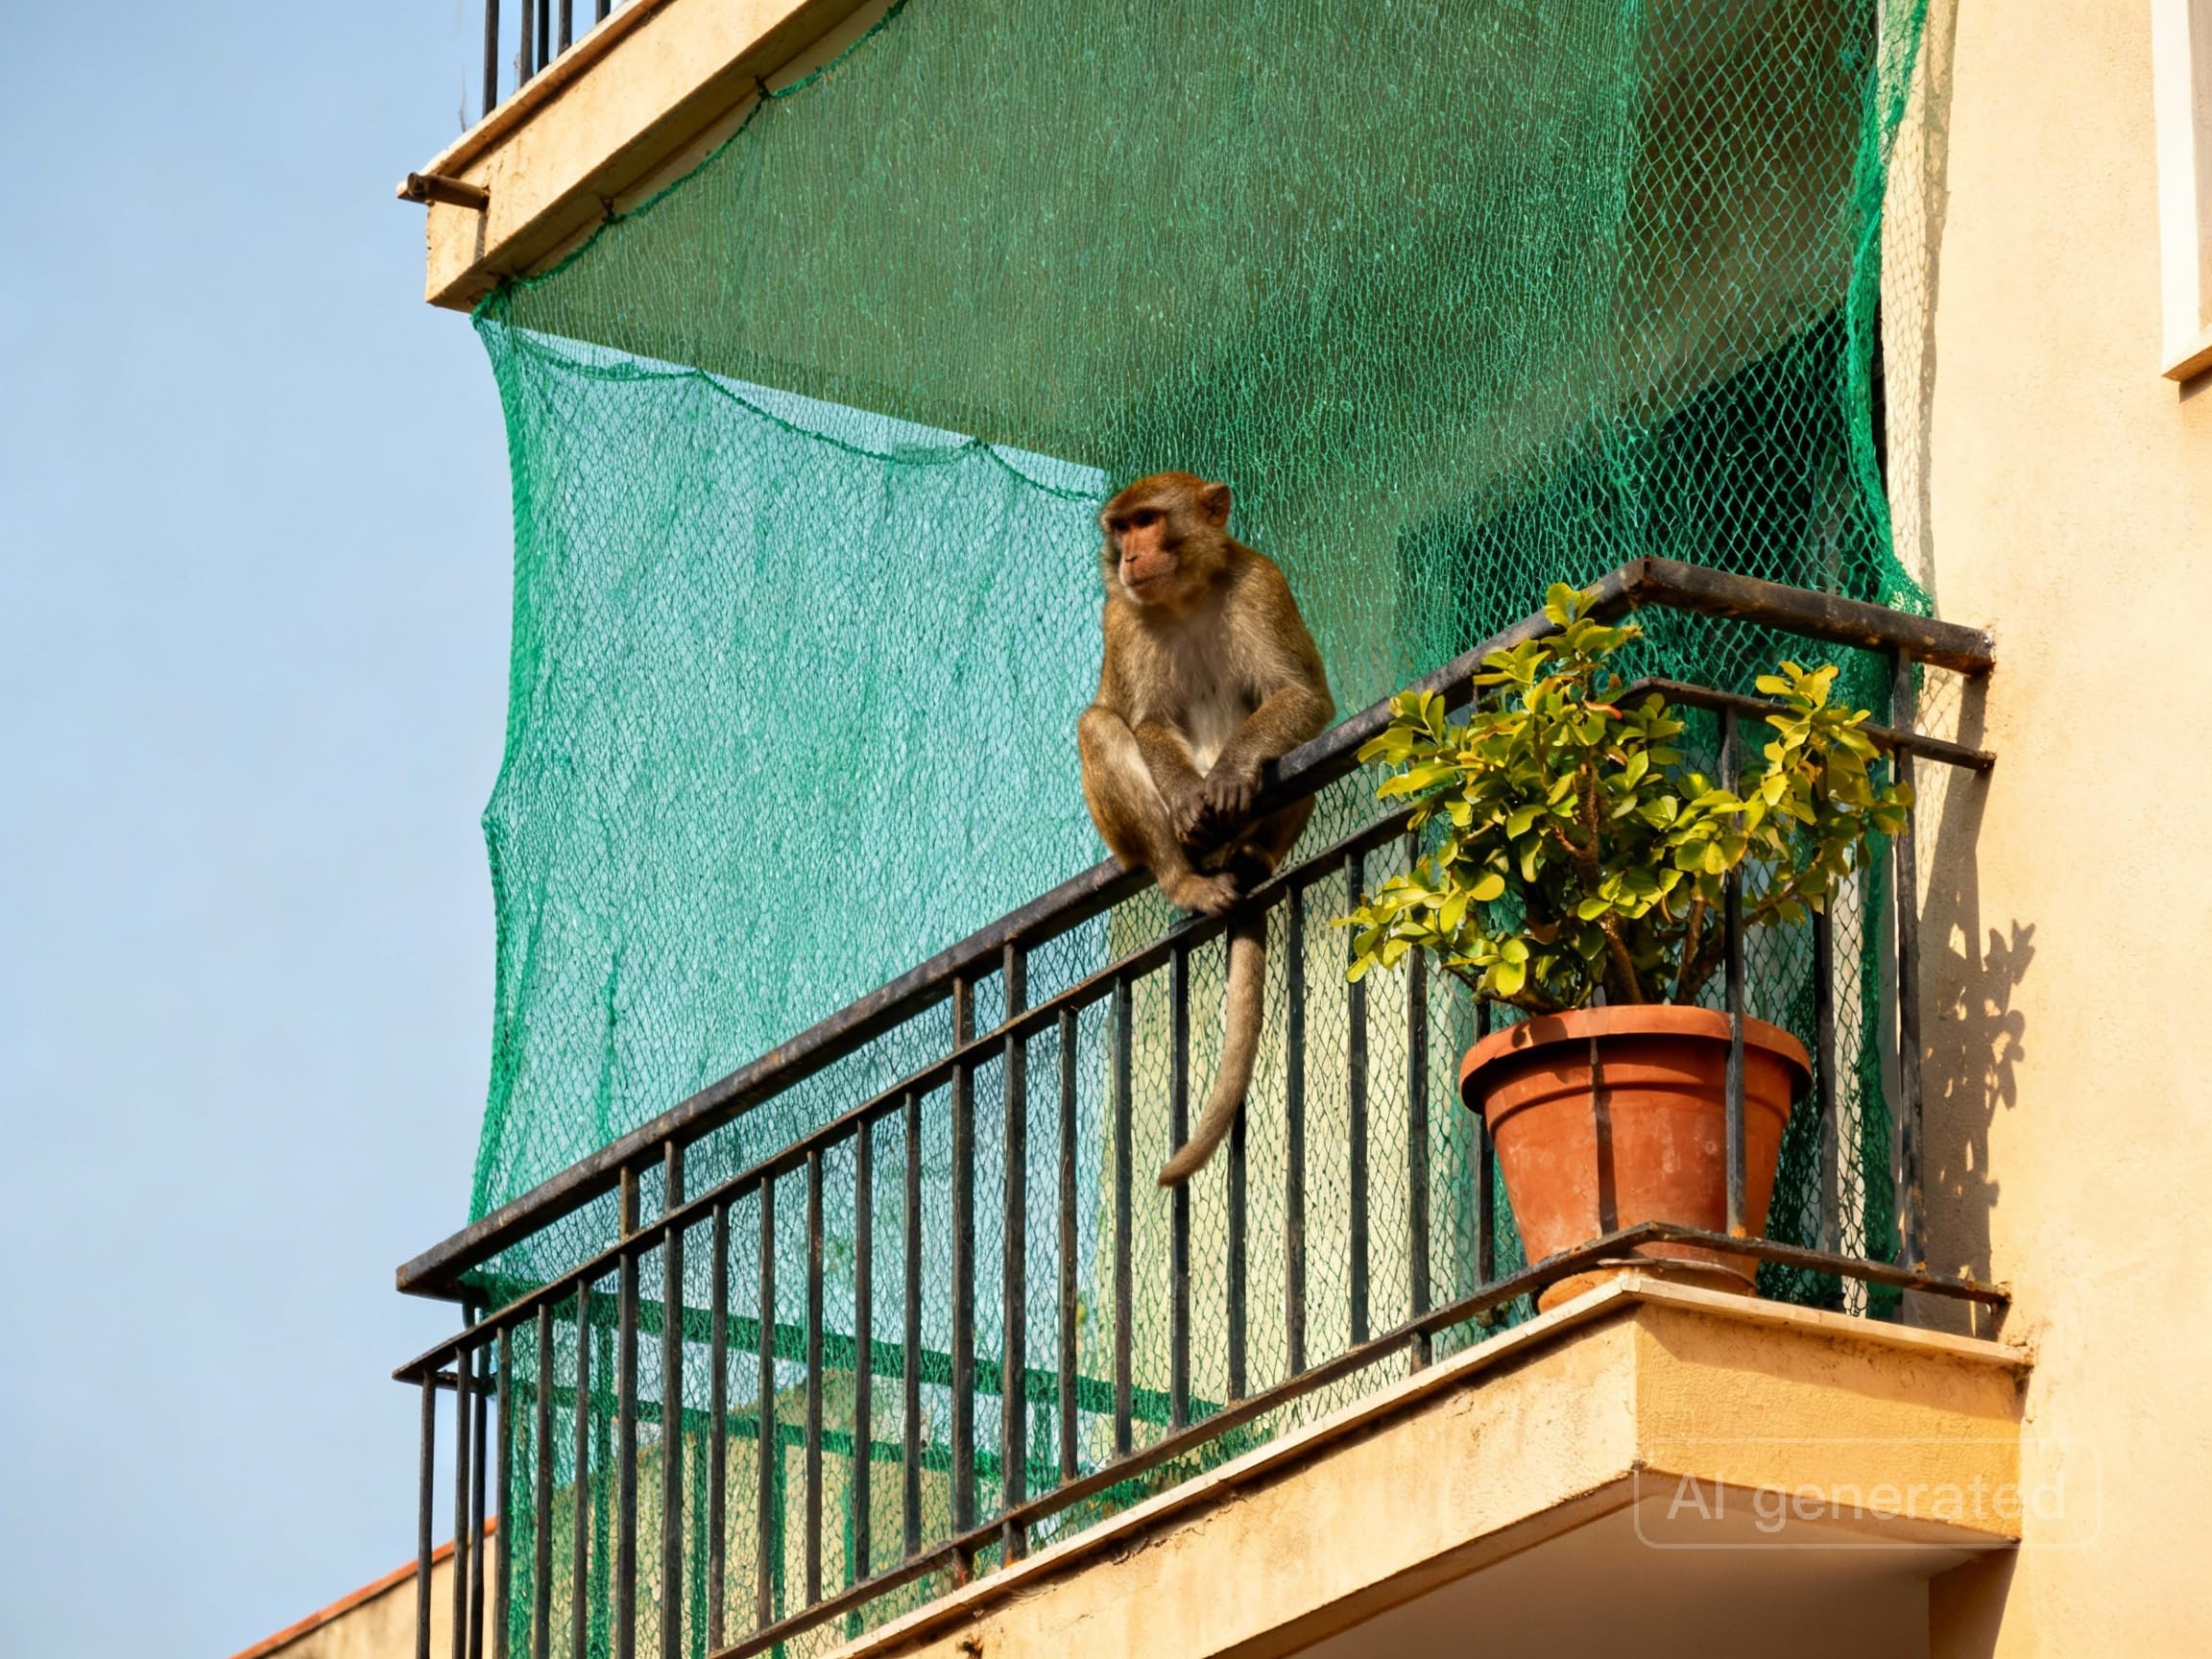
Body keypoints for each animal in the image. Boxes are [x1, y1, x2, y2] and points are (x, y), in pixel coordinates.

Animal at [1077, 472, 1335, 1187]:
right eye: (1121, 528)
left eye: (1147, 521)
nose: (1129, 556)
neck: (1185, 596)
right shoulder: (1123, 617)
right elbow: (1145, 724)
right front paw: (1192, 793)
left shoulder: (1261, 583)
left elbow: (1302, 697)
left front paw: (1234, 772)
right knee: (1099, 725)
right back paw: (1183, 877)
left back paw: (1250, 856)